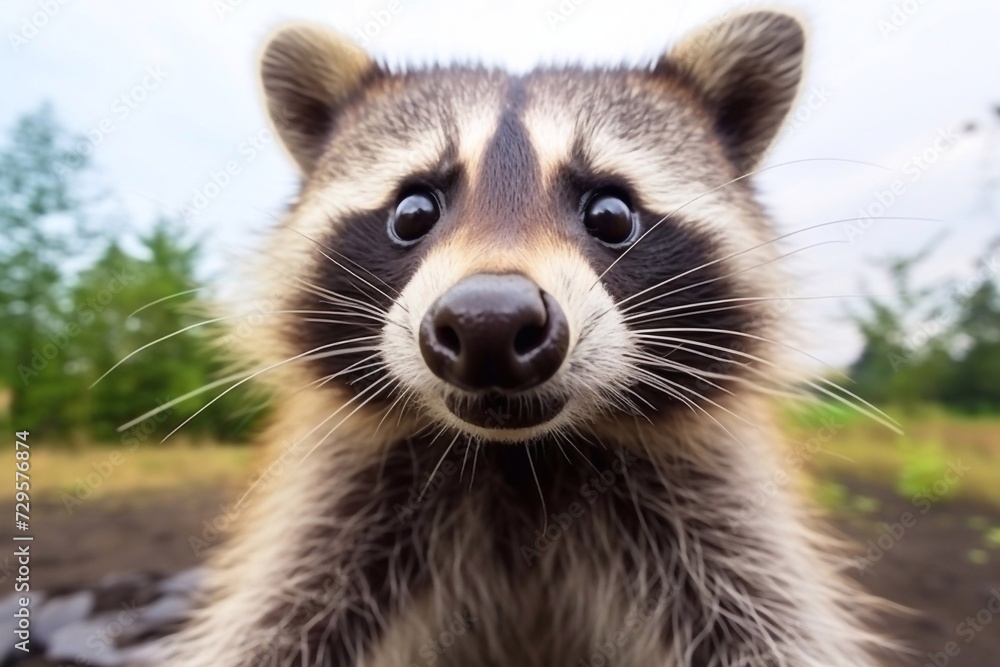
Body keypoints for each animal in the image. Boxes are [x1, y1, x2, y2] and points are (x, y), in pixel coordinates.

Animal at [158, 9, 891, 667]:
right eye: (412, 210)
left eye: (611, 212)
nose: (490, 322)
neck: (519, 461)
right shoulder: (341, 516)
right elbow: (277, 625)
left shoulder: (717, 518)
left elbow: (772, 624)